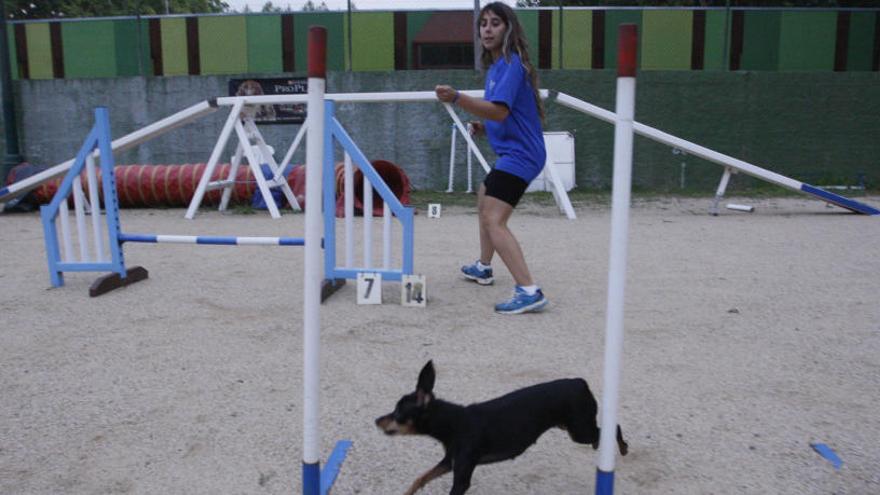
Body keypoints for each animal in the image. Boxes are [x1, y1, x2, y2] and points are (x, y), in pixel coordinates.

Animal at [374, 360, 628, 495]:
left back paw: (622, 448)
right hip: (570, 426)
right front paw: (408, 492)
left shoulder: (462, 475)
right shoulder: (449, 462)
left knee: (611, 428)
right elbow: (421, 477)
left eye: (398, 414)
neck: (454, 422)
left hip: (579, 431)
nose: (377, 420)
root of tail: (580, 382)